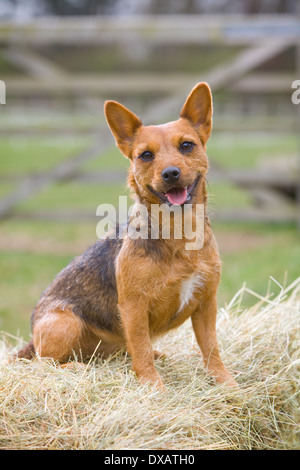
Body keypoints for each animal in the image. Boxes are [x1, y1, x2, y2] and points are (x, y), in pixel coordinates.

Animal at [17, 82, 237, 388]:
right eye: (146, 155)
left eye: (186, 145)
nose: (171, 173)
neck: (178, 236)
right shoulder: (134, 308)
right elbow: (141, 350)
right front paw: (154, 388)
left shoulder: (206, 303)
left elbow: (211, 348)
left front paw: (226, 382)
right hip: (66, 323)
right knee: (44, 363)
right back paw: (76, 368)